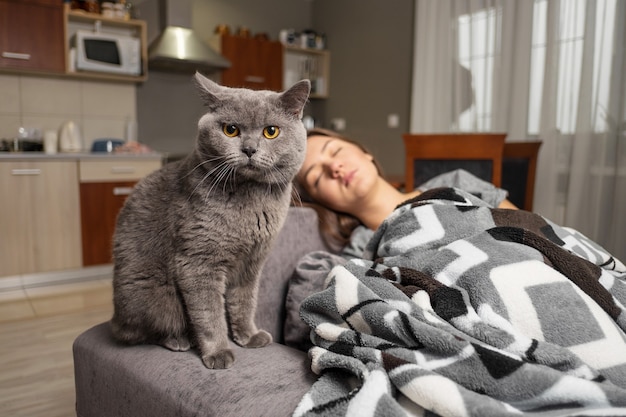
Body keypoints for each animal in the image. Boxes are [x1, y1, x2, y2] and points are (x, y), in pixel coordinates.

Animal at [110, 72, 312, 368]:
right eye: (230, 130)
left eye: (271, 131)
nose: (249, 149)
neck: (251, 201)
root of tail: (115, 318)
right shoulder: (197, 261)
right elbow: (209, 312)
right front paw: (217, 353)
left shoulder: (252, 262)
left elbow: (244, 301)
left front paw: (248, 336)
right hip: (151, 295)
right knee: (146, 330)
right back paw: (178, 340)